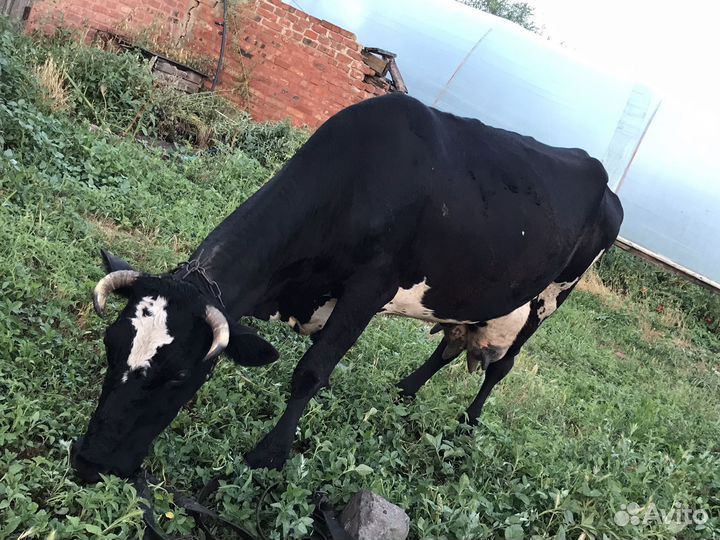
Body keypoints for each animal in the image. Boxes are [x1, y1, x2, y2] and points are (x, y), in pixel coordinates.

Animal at [70, 93, 623, 481]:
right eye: (110, 347)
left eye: (180, 375)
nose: (90, 462)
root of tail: (601, 176)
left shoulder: (370, 287)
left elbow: (311, 372)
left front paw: (269, 455)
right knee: (448, 346)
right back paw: (404, 391)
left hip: (551, 297)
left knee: (502, 366)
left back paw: (467, 423)